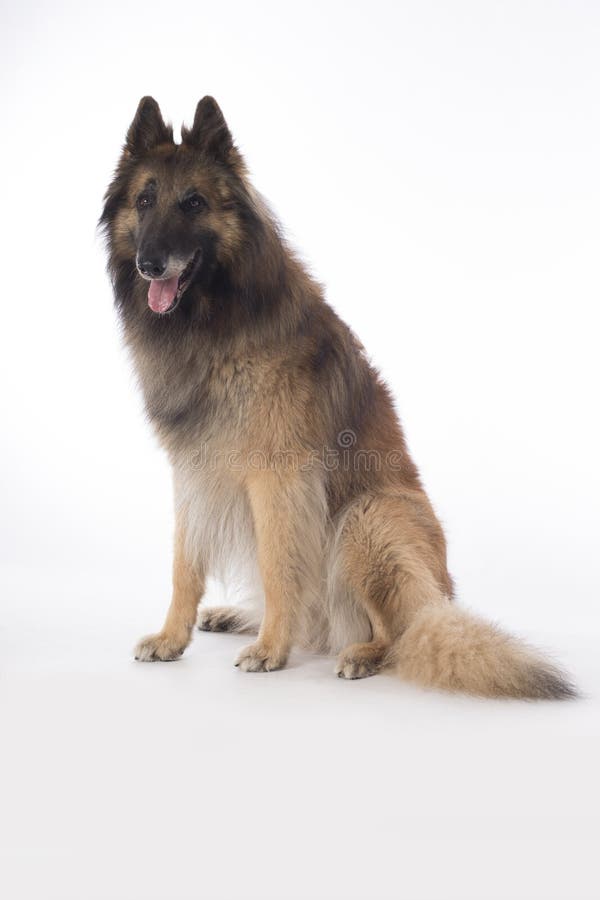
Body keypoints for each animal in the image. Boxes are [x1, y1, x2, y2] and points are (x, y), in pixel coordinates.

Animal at [101, 98, 576, 700]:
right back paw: (236, 617)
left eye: (194, 203)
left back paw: (360, 653)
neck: (215, 320)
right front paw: (171, 638)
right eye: (145, 201)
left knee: (399, 632)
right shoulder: (192, 471)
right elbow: (184, 566)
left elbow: (279, 567)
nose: (150, 264)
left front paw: (271, 650)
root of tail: (443, 597)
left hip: (367, 519)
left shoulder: (279, 477)